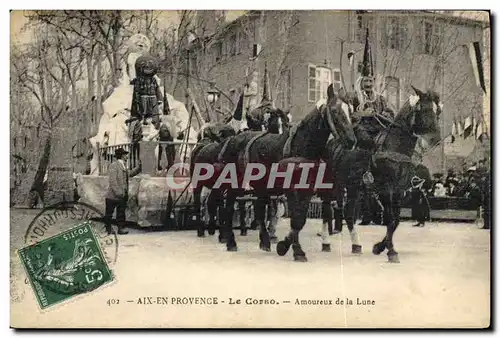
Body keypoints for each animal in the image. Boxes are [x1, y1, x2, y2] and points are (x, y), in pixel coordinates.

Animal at [320, 85, 442, 264]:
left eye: (438, 110)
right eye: (423, 109)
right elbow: (391, 218)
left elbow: (396, 220)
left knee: (348, 213)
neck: (395, 147)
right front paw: (391, 251)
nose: (435, 139)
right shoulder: (386, 189)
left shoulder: (399, 191)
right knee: (328, 210)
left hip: (353, 187)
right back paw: (326, 242)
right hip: (333, 184)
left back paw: (356, 245)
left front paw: (379, 247)